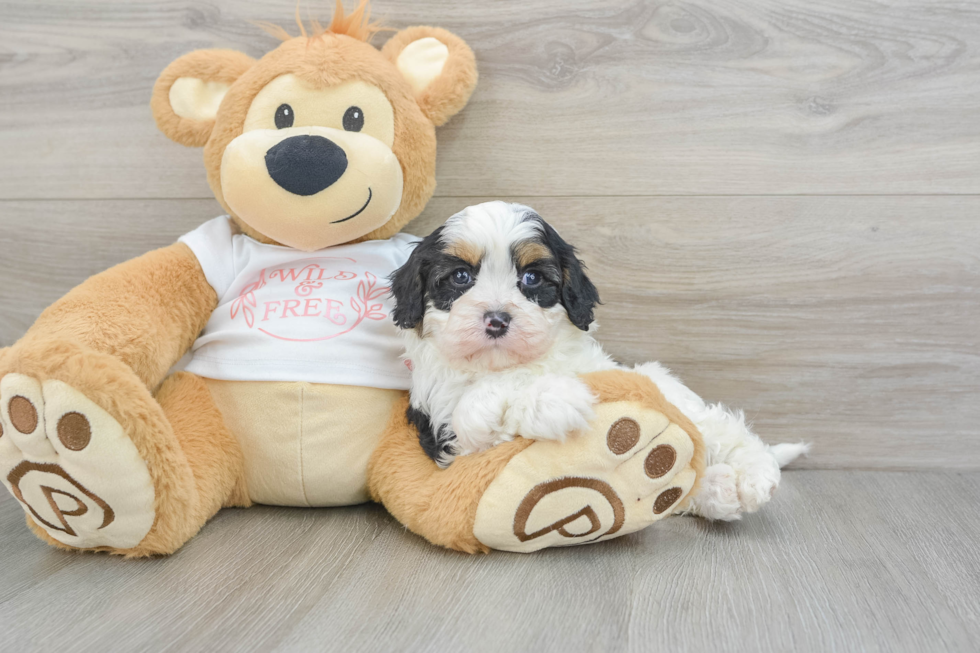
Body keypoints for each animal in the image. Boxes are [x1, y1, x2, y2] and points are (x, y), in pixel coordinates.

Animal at [386, 202, 808, 520]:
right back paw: (719, 490)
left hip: (668, 390)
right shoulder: (447, 435)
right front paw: (559, 401)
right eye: (460, 277)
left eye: (532, 279)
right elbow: (475, 414)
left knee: (717, 428)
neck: (506, 363)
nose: (497, 319)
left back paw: (751, 477)